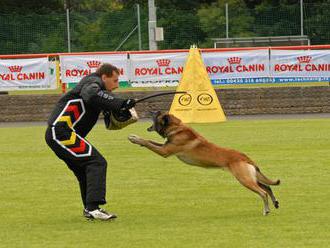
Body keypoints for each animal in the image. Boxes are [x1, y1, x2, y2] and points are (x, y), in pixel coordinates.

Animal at [127, 111, 280, 214]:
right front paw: (136, 138)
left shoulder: (164, 151)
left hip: (244, 179)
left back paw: (266, 210)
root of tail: (244, 157)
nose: (153, 111)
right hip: (250, 177)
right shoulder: (165, 147)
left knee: (263, 192)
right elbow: (151, 141)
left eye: (157, 116)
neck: (177, 128)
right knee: (267, 187)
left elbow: (148, 142)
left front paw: (135, 139)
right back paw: (275, 202)